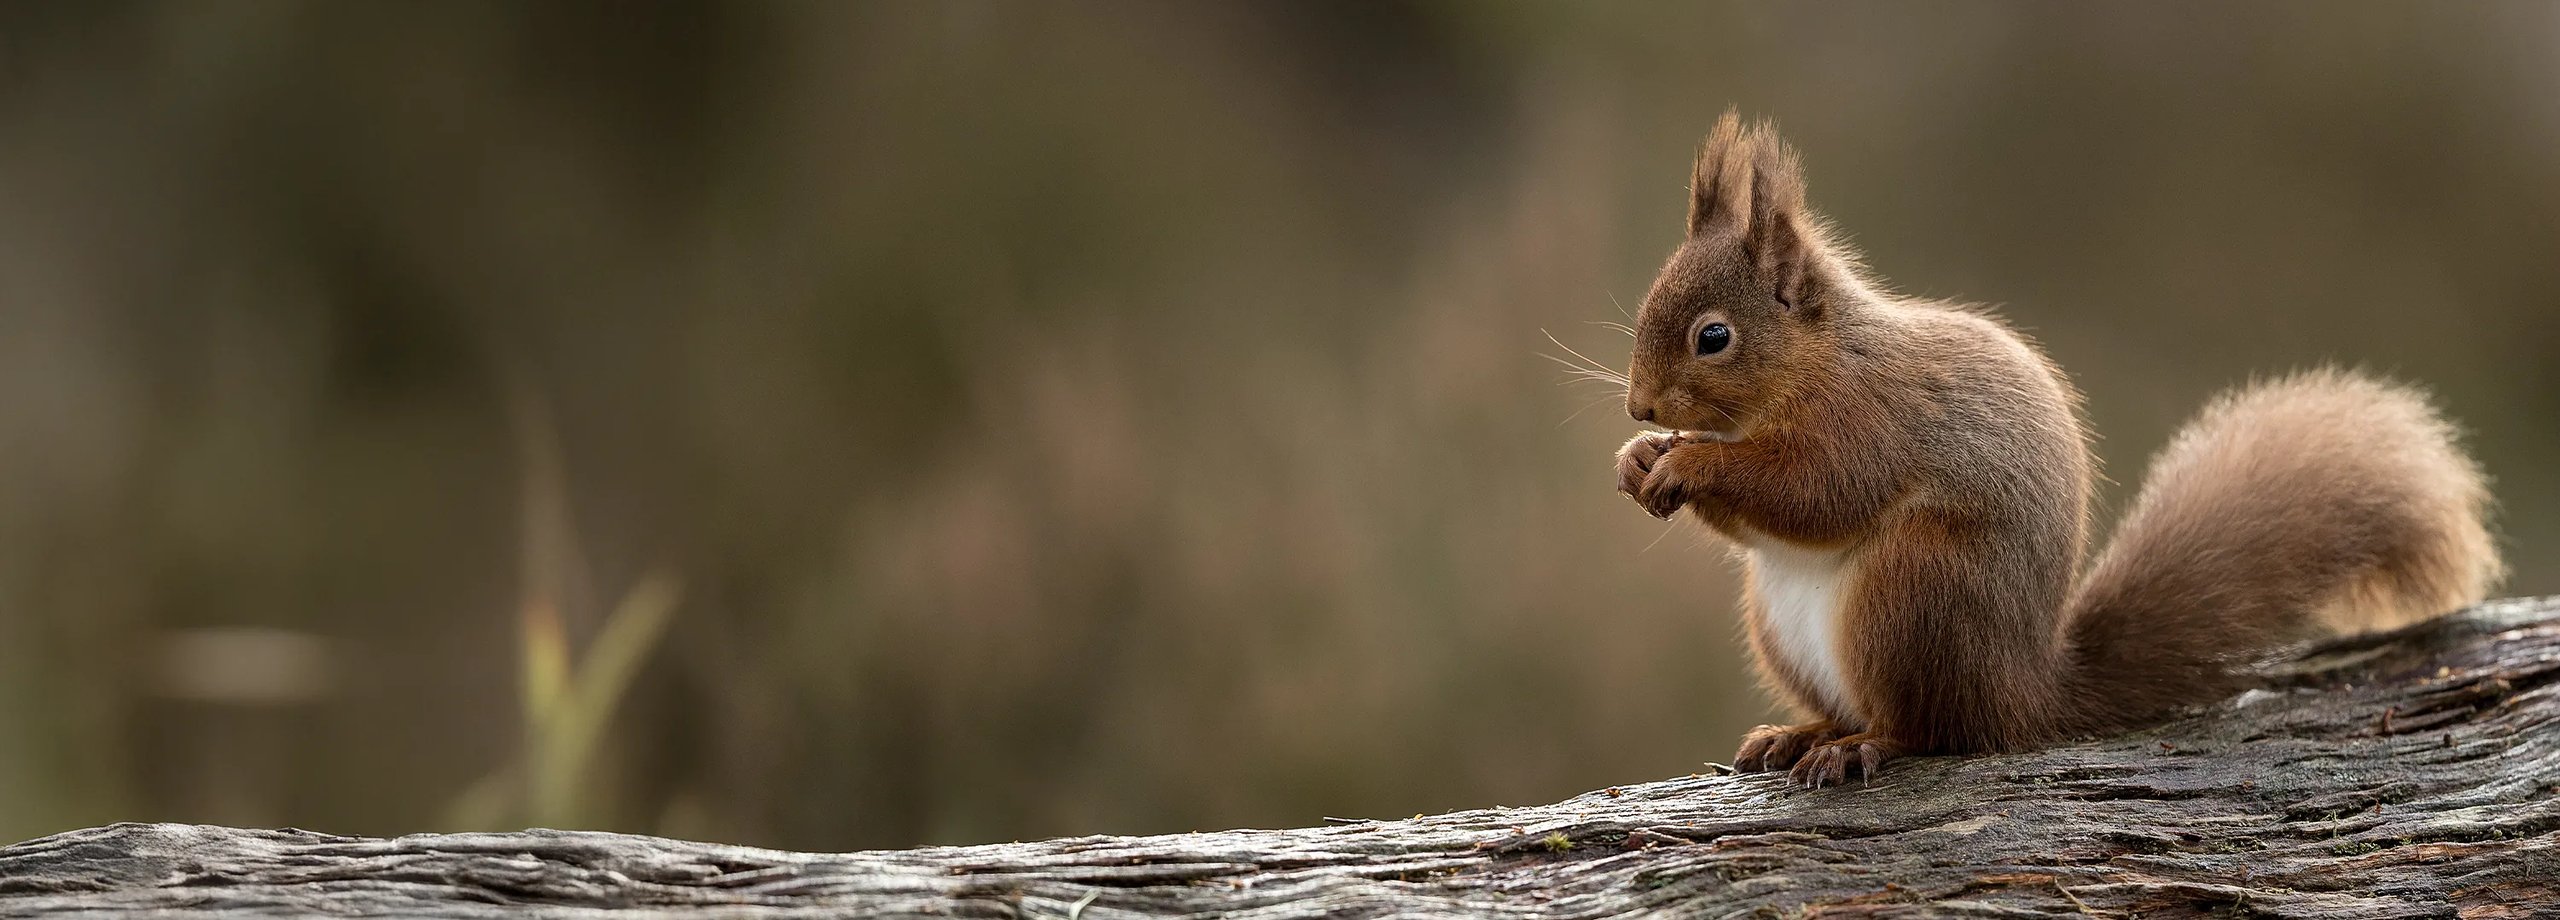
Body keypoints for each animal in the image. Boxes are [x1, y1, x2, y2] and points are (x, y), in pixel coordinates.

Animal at [1612, 111, 2504, 788]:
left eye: (1713, 337)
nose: (1638, 405)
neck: (1819, 362)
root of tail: (2023, 691)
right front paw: (1639, 457)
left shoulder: (1868, 423)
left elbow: (1815, 493)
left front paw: (1689, 462)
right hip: (1784, 623)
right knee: (1856, 709)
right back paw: (1798, 734)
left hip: (1911, 592)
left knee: (1928, 728)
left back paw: (1860, 747)